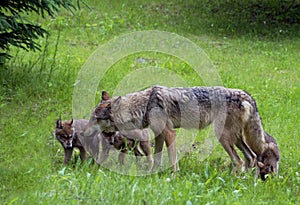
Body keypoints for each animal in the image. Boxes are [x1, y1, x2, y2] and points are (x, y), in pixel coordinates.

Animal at [89, 85, 278, 179]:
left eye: (95, 118)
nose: (84, 129)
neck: (145, 105)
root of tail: (246, 95)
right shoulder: (159, 135)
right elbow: (156, 159)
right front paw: (151, 174)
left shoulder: (169, 134)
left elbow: (172, 160)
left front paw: (173, 176)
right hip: (236, 139)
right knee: (251, 157)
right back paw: (244, 180)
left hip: (223, 138)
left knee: (238, 161)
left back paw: (231, 179)